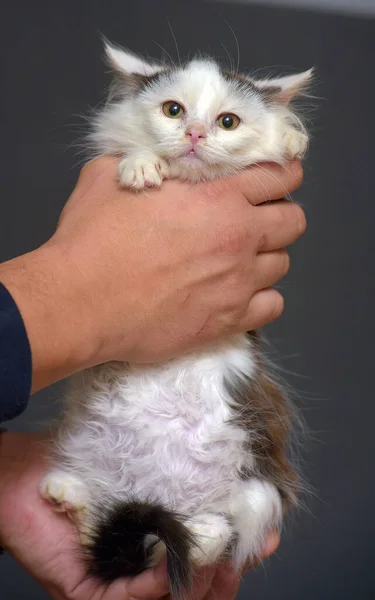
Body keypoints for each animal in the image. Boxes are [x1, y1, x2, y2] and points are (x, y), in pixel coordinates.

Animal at [39, 43, 312, 600]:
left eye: (228, 122)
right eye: (173, 111)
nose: (195, 135)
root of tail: (159, 494)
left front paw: (289, 138)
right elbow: (125, 151)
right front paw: (141, 167)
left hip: (258, 489)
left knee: (214, 538)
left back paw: (199, 533)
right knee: (112, 521)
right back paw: (69, 494)